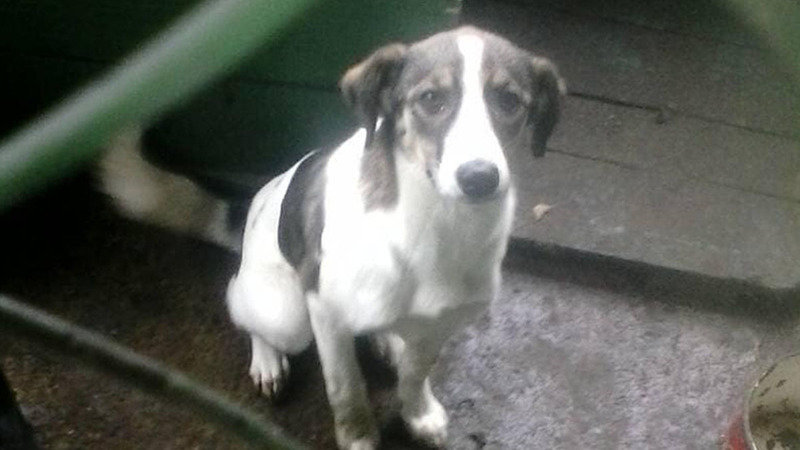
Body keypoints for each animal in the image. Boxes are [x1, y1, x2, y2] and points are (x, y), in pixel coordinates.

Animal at [100, 25, 564, 450]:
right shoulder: (325, 312)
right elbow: (347, 390)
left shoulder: (441, 324)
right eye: (431, 98)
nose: (479, 178)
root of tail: (252, 207)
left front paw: (419, 414)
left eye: (509, 100)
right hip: (284, 313)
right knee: (241, 304)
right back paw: (267, 360)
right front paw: (358, 437)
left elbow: (416, 375)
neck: (436, 225)